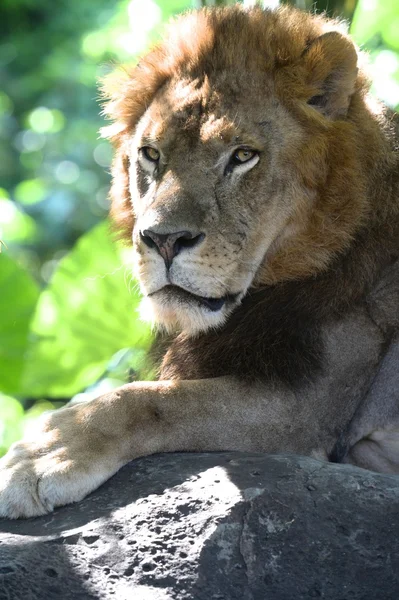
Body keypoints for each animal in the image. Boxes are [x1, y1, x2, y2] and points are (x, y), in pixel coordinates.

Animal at [0, 4, 399, 516]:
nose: (162, 240)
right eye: (151, 154)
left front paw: (45, 453)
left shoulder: (310, 407)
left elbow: (156, 401)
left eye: (243, 155)